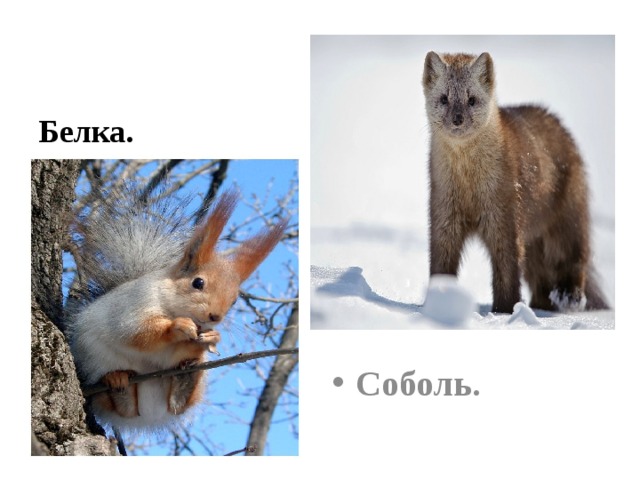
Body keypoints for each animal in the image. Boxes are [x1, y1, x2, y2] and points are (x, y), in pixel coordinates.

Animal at [66, 186, 287, 432]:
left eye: (234, 301)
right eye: (198, 283)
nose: (215, 317)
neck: (170, 303)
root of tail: (149, 415)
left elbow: (178, 351)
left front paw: (212, 337)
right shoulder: (134, 306)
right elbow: (137, 333)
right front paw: (177, 327)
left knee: (178, 404)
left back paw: (186, 379)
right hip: (94, 360)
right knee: (116, 404)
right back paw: (117, 381)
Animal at [422, 51, 608, 313]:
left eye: (472, 99)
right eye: (444, 98)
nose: (457, 119)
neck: (470, 188)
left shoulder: (505, 212)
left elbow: (507, 268)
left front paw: (504, 310)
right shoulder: (442, 210)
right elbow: (441, 263)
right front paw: (436, 304)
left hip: (570, 211)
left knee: (574, 255)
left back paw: (568, 296)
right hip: (534, 242)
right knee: (540, 277)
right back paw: (542, 305)